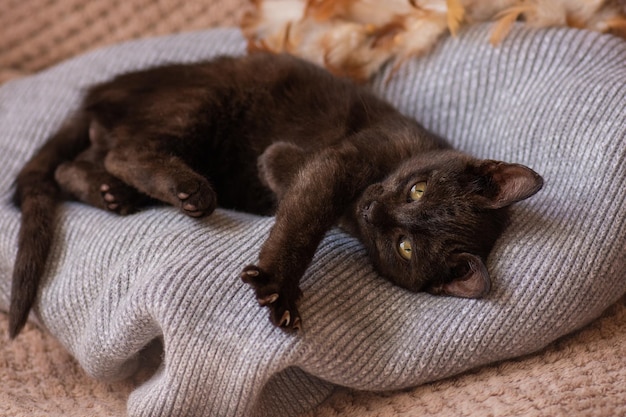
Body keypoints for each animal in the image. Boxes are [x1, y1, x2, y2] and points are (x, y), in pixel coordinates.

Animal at [11, 52, 540, 336]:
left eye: (404, 247)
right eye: (418, 188)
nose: (374, 208)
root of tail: (100, 92)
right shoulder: (330, 162)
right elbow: (305, 220)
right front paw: (279, 286)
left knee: (74, 165)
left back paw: (113, 194)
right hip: (202, 100)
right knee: (121, 151)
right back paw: (188, 190)